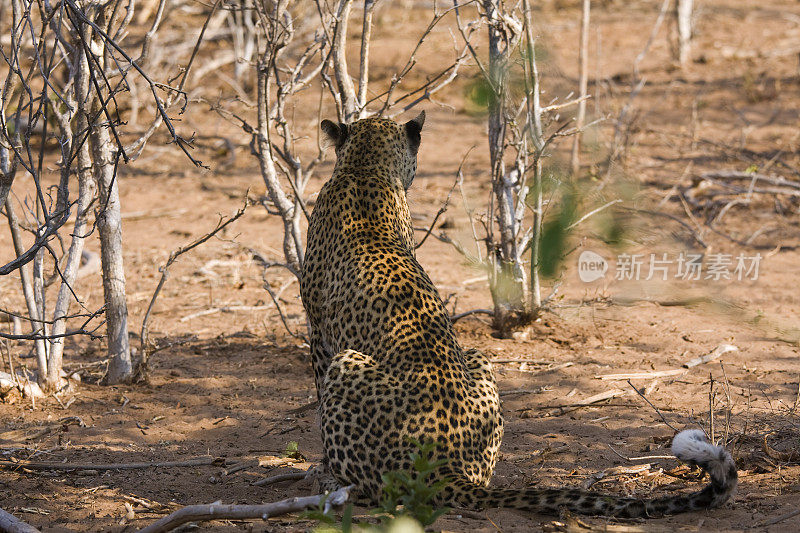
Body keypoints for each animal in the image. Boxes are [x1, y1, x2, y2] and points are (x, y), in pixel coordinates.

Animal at [300, 112, 736, 516]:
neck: (364, 169)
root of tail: (447, 471)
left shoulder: (318, 332)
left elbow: (317, 395)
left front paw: (319, 465)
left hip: (347, 360)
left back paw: (332, 482)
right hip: (477, 355)